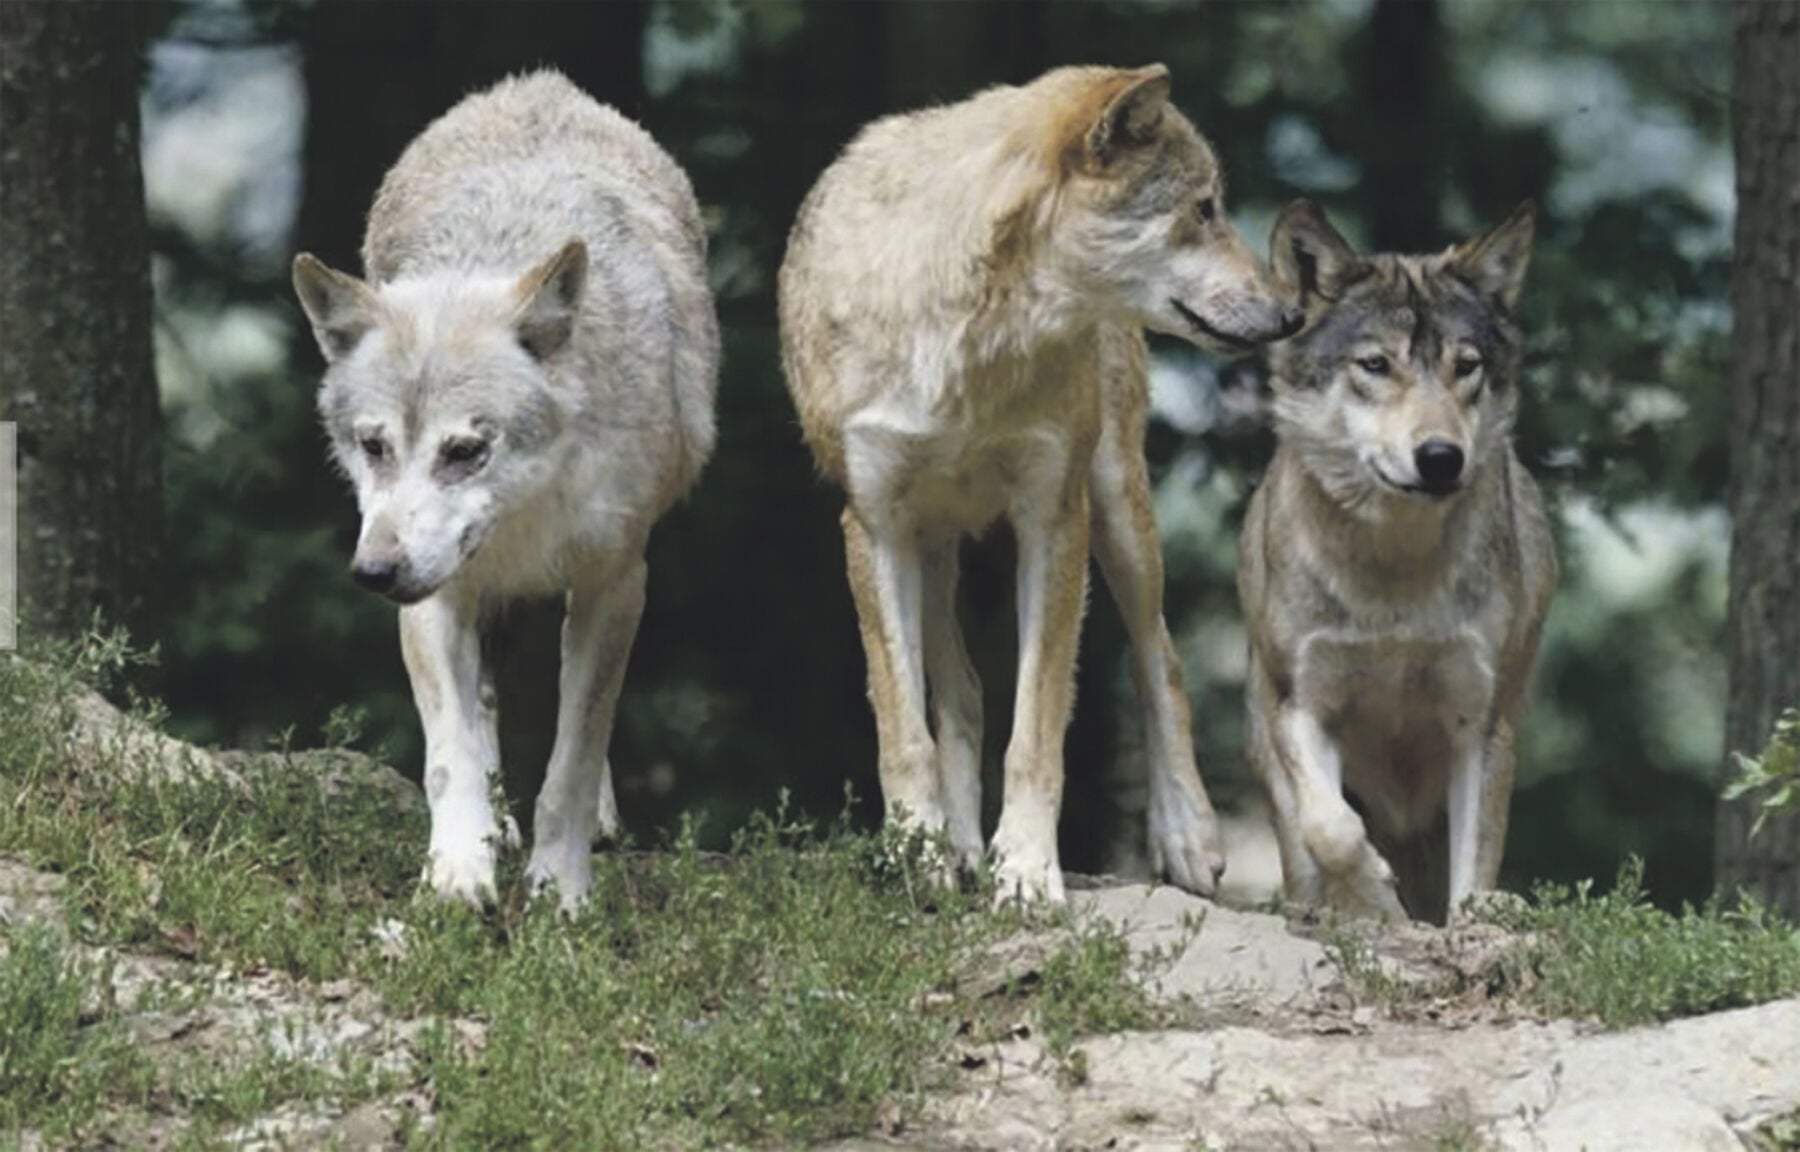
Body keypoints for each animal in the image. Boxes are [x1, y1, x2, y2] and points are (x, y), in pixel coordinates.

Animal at [290, 71, 718, 909]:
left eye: (465, 451)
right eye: (374, 446)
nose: (374, 572)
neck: (525, 517)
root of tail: (537, 84)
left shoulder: (617, 582)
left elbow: (574, 757)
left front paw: (561, 890)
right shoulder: (435, 596)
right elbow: (450, 754)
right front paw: (458, 873)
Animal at [778, 64, 1301, 903]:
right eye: (1204, 209)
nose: (1291, 313)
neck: (970, 339)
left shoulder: (1055, 520)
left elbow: (1038, 729)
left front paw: (1025, 870)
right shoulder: (874, 527)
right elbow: (904, 727)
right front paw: (920, 855)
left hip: (1118, 511)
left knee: (1161, 658)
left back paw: (1186, 837)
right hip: (932, 548)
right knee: (960, 691)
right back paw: (958, 848)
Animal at [1238, 199, 1556, 923]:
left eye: (1466, 366)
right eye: (1376, 365)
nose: (1440, 457)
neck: (1394, 576)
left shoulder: (1481, 723)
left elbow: (1475, 870)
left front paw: (1470, 919)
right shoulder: (1301, 704)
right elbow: (1330, 828)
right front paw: (1373, 897)